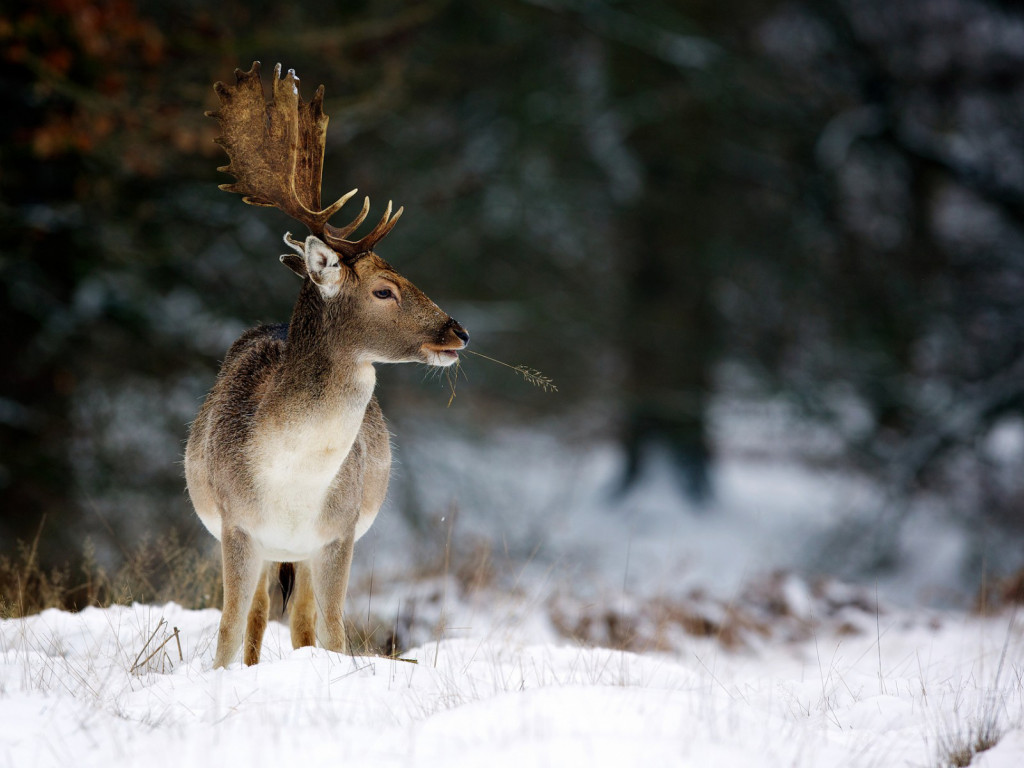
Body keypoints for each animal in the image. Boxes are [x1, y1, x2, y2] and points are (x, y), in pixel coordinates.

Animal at [184, 63, 468, 671]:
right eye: (384, 290)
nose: (457, 331)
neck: (291, 479)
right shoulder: (237, 526)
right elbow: (226, 630)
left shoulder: (339, 532)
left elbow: (334, 632)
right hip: (265, 548)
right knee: (259, 616)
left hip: (310, 550)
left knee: (301, 622)